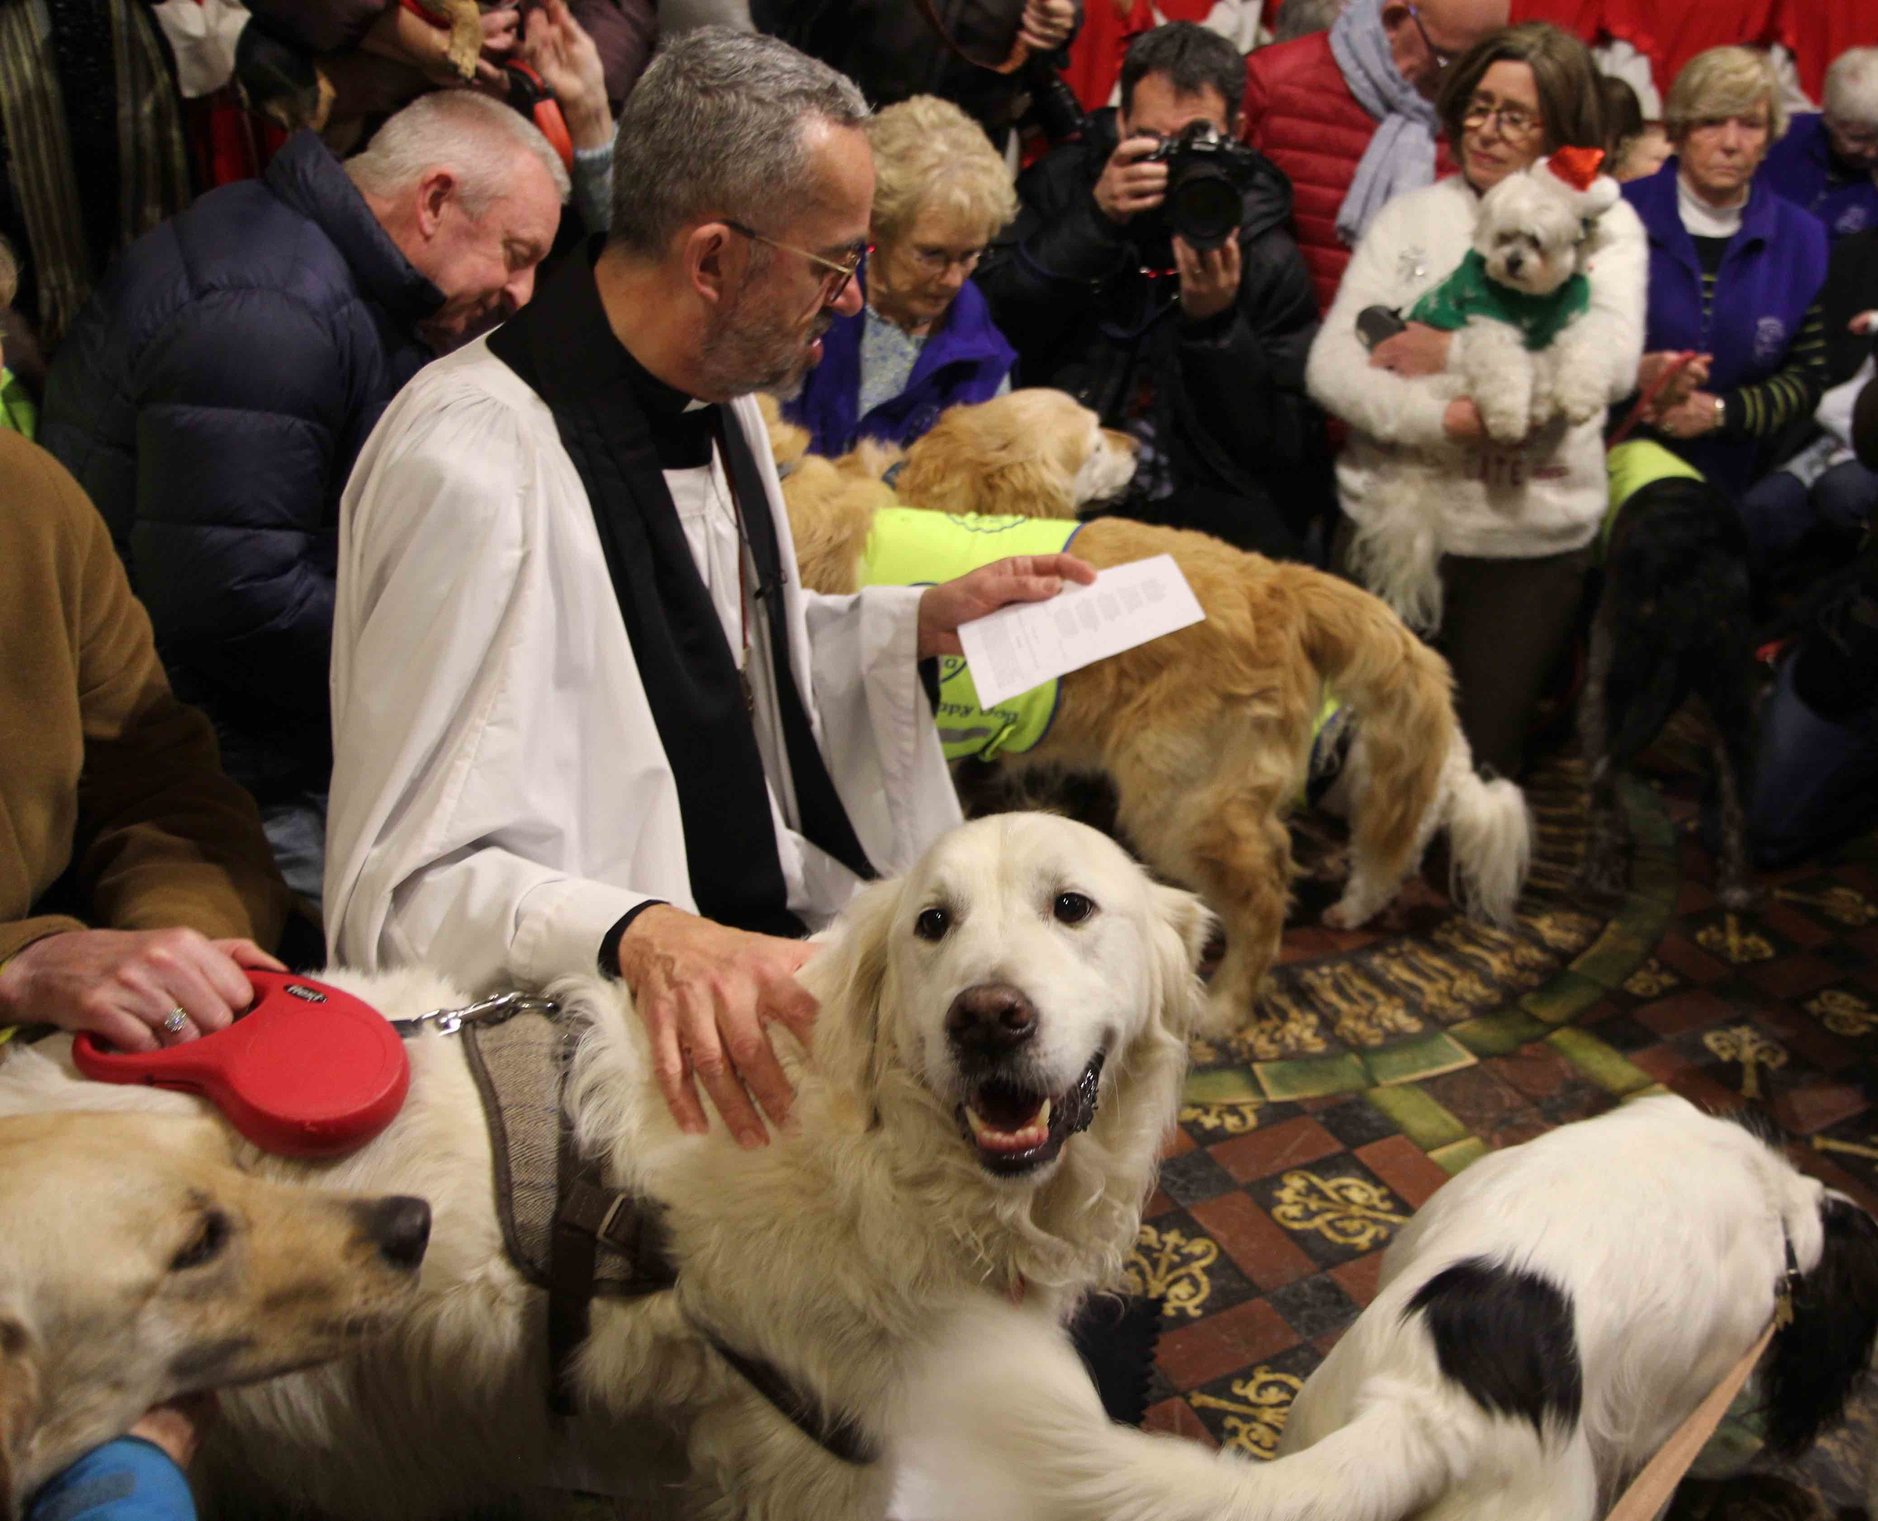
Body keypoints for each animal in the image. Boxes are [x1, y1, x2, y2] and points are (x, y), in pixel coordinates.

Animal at [769, 388, 1532, 1029]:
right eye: (1092, 444)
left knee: (1265, 895)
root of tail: (1277, 580)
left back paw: (1225, 1003)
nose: (1138, 443)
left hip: (1178, 803)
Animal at [1585, 473, 1757, 901]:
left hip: (1612, 673)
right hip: (1734, 700)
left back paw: (1603, 870)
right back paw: (1737, 887)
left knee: (1604, 781)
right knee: (1737, 804)